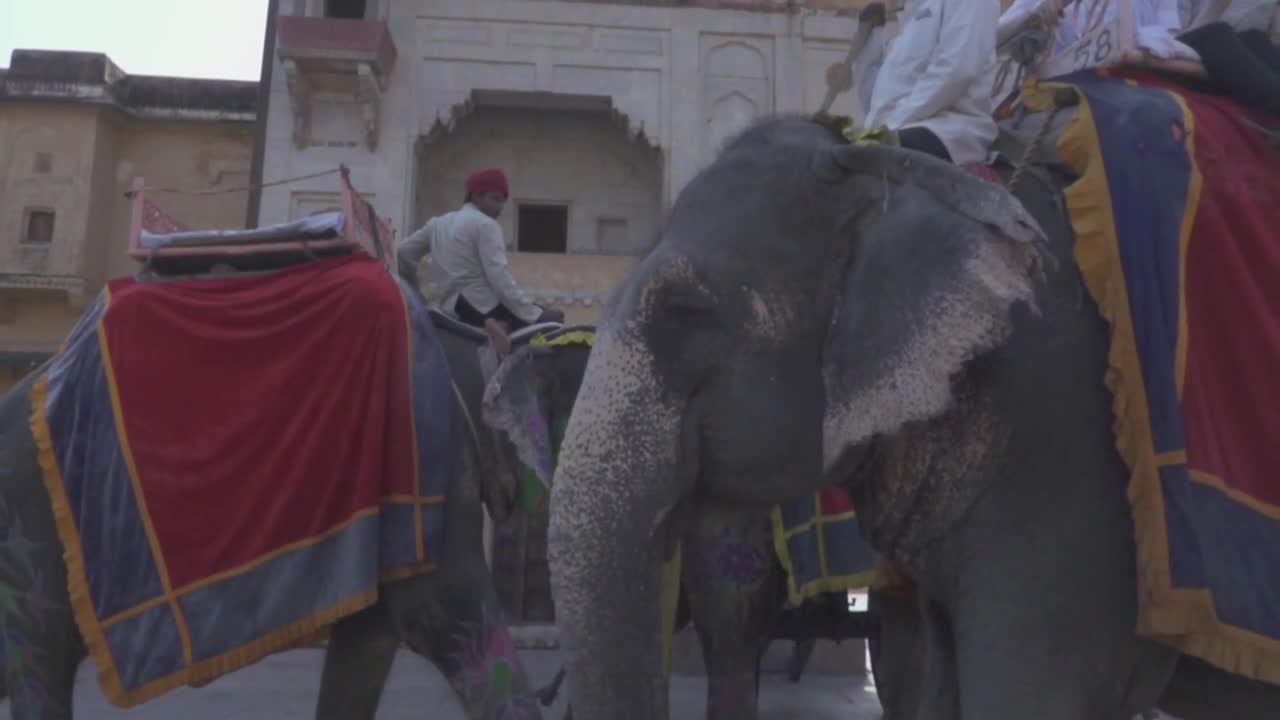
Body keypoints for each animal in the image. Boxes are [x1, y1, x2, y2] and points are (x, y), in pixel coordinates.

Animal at [0, 286, 560, 717]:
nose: (552, 692)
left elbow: (366, 647)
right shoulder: (427, 457)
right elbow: (447, 617)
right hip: (34, 527)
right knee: (40, 660)